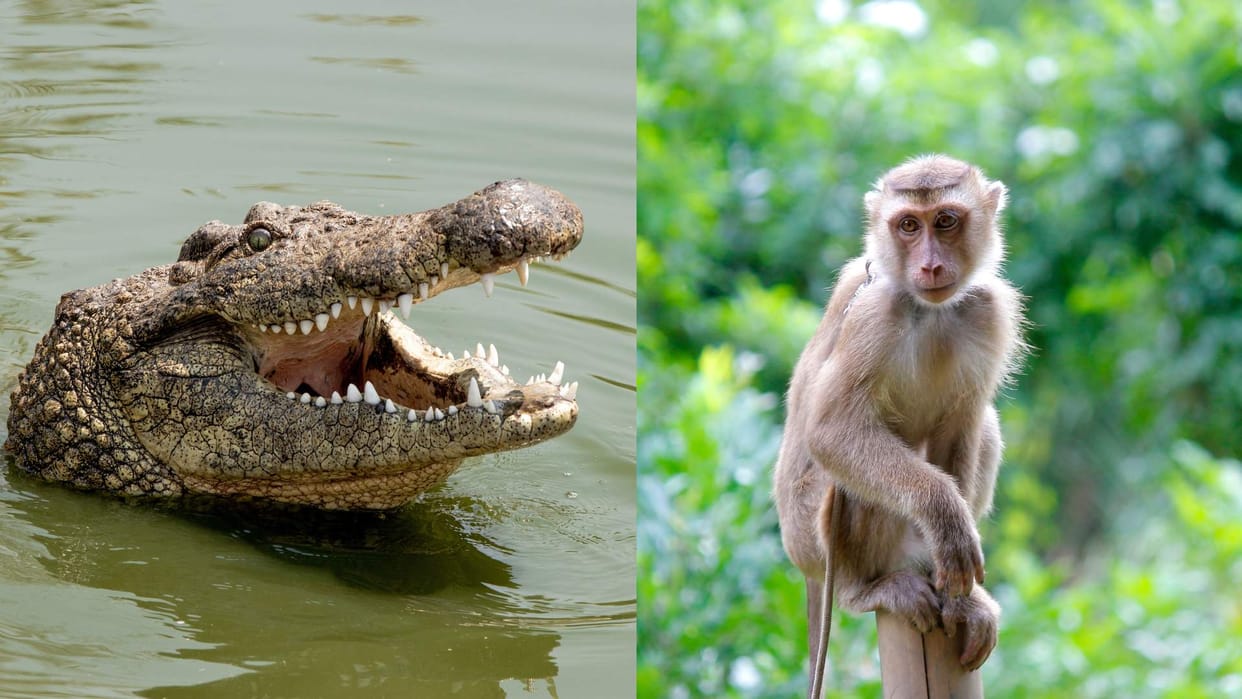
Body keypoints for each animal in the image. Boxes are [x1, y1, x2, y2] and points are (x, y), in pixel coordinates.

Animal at [773, 155, 1025, 696]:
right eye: (908, 225)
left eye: (945, 221)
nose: (929, 265)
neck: (928, 310)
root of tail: (804, 568)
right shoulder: (874, 314)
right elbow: (831, 431)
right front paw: (946, 515)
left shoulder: (988, 311)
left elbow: (964, 423)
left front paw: (960, 595)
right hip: (812, 537)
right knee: (847, 486)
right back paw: (862, 590)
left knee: (986, 427)